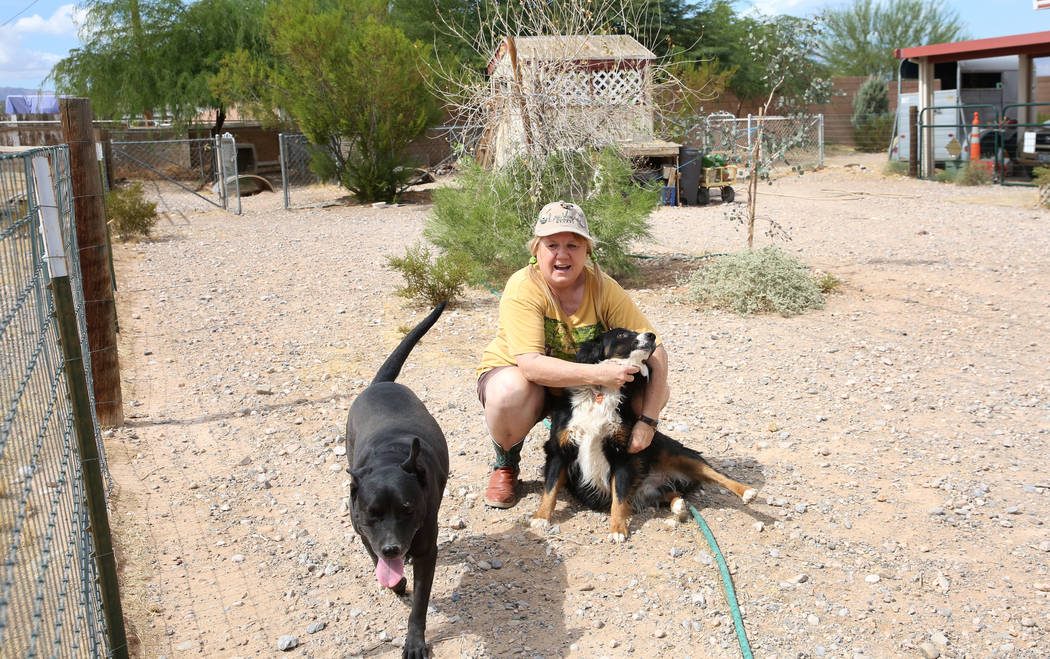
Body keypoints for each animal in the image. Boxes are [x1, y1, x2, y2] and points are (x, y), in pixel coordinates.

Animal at [346, 302, 449, 654]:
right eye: (372, 513)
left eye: (407, 509)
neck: (390, 459)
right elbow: (373, 555)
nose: (392, 549)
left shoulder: (426, 549)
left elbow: (419, 603)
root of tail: (381, 384)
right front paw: (397, 581)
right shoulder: (362, 529)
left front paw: (415, 642)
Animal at [533, 327, 755, 541]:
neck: (601, 393)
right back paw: (679, 505)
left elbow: (618, 497)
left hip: (677, 453)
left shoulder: (623, 454)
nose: (651, 335)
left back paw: (747, 492)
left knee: (717, 475)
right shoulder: (559, 449)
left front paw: (617, 530)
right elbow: (551, 488)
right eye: (621, 333)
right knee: (672, 493)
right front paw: (541, 517)